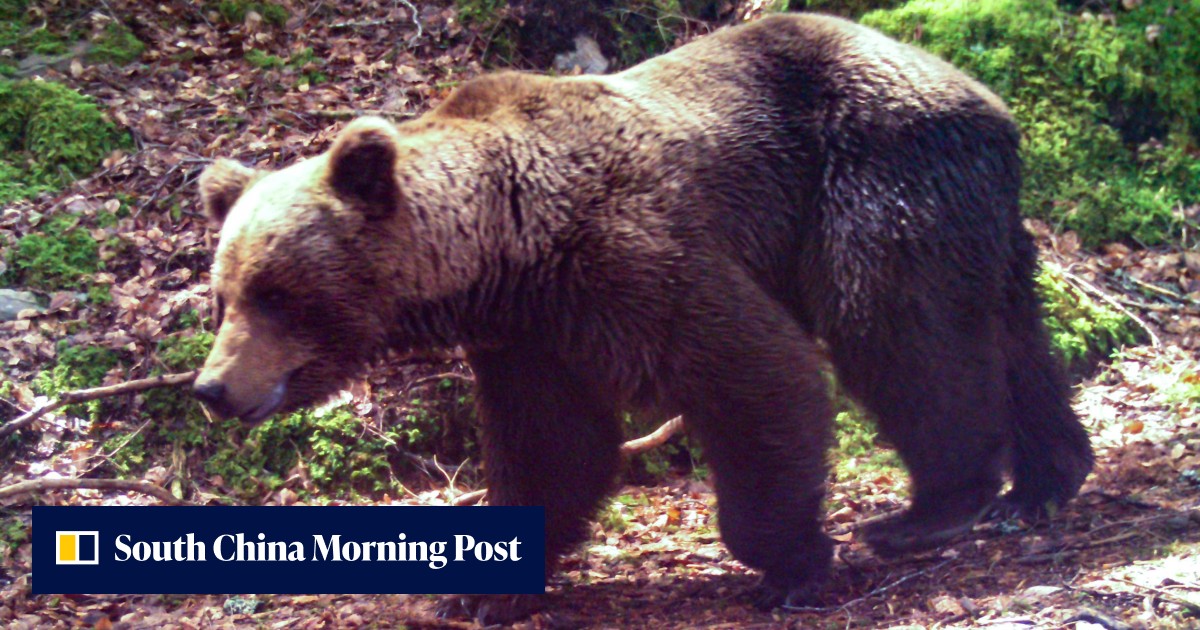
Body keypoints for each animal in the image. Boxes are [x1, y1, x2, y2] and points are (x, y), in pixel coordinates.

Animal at [193, 12, 1093, 622]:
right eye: (224, 294)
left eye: (275, 291)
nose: (212, 387)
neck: (509, 246)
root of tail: (988, 99)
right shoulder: (529, 337)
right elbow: (551, 446)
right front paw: (482, 591)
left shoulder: (634, 257)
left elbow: (759, 372)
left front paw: (793, 562)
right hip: (970, 212)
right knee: (1011, 334)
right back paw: (1045, 481)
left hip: (874, 175)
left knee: (896, 325)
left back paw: (929, 509)